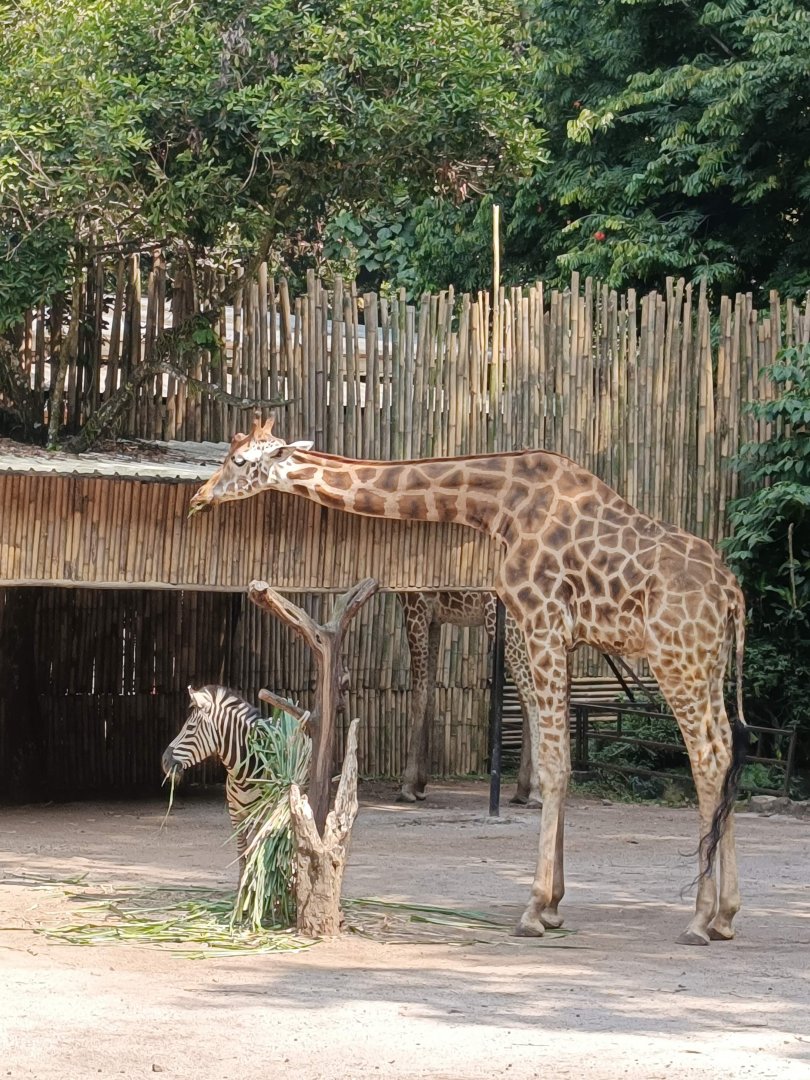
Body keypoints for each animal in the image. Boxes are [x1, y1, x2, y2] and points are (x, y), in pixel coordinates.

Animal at [161, 685, 269, 879]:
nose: (164, 761)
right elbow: (242, 855)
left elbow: (258, 853)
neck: (245, 771)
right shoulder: (235, 814)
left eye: (190, 727)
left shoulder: (262, 814)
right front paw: (243, 886)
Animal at [398, 591, 541, 806]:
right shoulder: (435, 619)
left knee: (532, 693)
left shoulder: (416, 607)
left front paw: (407, 788)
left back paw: (536, 792)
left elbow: (419, 697)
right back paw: (522, 792)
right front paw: (420, 785)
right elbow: (430, 694)